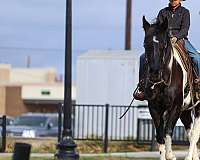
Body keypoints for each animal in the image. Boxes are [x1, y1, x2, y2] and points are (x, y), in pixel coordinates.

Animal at [142, 16, 200, 160]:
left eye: (163, 45)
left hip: (197, 108)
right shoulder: (154, 108)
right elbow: (159, 135)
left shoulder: (175, 107)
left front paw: (170, 155)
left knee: (195, 133)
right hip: (185, 111)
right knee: (190, 131)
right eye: (145, 45)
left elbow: (168, 131)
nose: (154, 73)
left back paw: (188, 157)